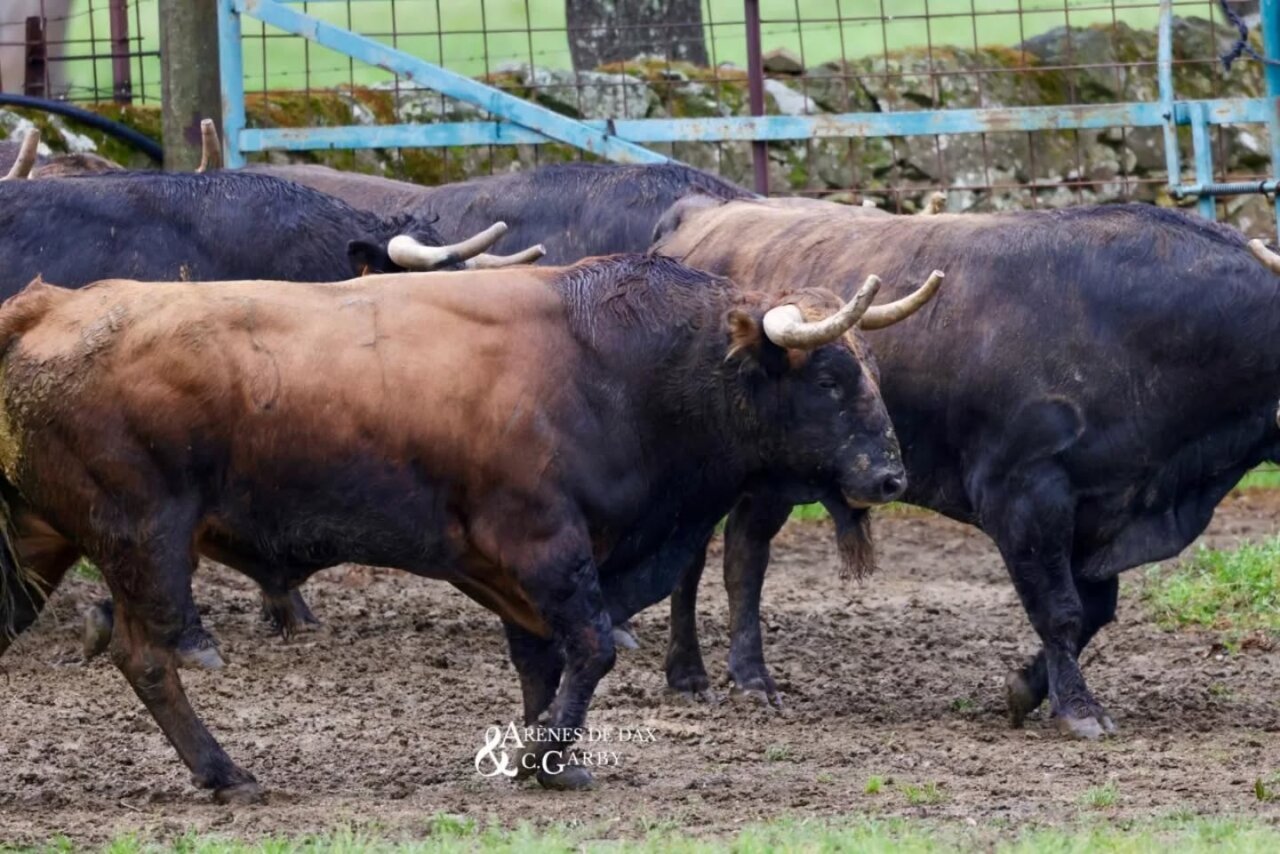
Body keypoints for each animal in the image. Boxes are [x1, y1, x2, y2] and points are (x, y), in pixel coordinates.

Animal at [0, 254, 941, 800]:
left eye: (869, 370)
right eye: (827, 380)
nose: (890, 477)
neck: (617, 363)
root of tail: (48, 307)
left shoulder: (519, 569)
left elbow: (543, 661)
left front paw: (556, 755)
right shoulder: (544, 546)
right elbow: (590, 647)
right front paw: (541, 758)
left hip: (40, 543)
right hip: (143, 541)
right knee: (149, 656)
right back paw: (226, 772)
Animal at [651, 196, 1280, 739]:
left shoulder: (1103, 509)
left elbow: (1093, 611)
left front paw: (1026, 689)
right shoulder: (1024, 496)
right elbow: (1061, 611)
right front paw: (1078, 709)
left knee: (743, 555)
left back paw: (743, 675)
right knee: (697, 561)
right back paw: (696, 673)